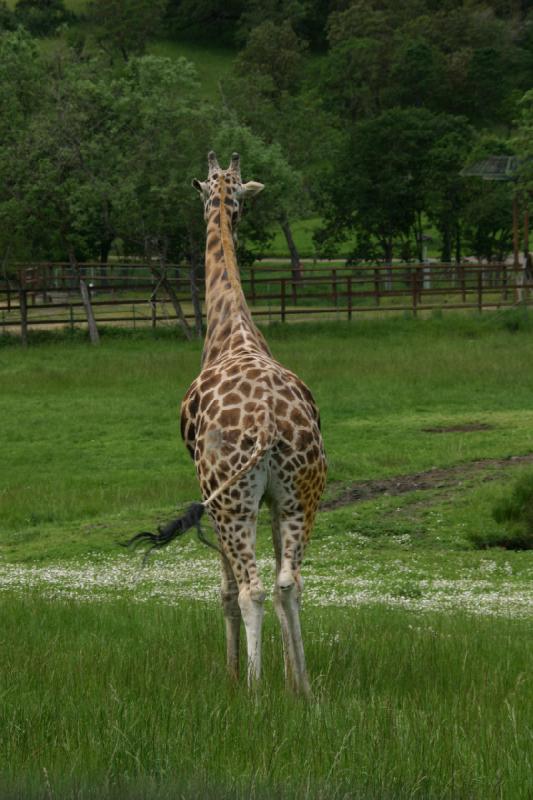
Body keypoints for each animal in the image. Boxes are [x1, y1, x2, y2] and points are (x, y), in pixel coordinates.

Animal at [131, 150, 326, 692]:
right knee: (288, 583)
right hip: (302, 493)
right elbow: (284, 582)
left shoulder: (212, 492)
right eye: (231, 191)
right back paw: (303, 689)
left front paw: (234, 672)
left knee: (250, 589)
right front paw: (291, 677)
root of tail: (267, 425)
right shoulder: (276, 501)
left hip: (231, 501)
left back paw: (254, 693)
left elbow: (223, 592)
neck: (231, 329)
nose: (231, 211)